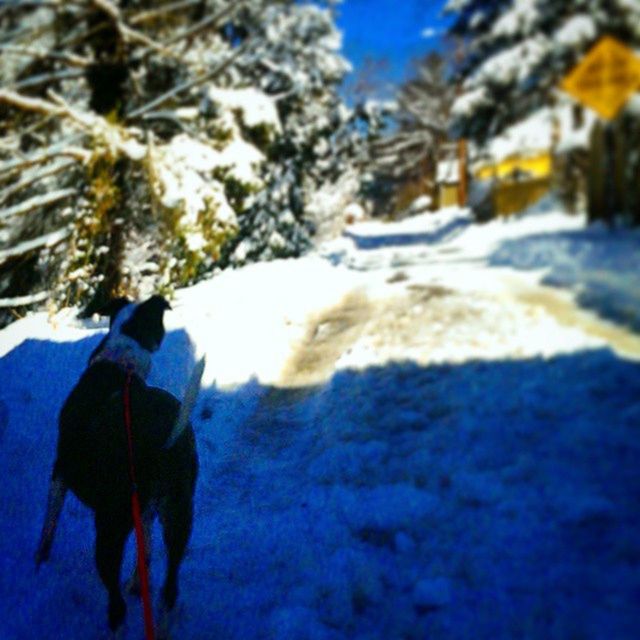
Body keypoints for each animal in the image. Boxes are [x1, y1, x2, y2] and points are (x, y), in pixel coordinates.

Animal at [34, 296, 202, 636]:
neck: (120, 362)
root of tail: (161, 441)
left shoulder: (59, 470)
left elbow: (49, 523)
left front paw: (39, 561)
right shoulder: (147, 510)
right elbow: (146, 551)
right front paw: (138, 583)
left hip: (110, 528)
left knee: (116, 604)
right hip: (178, 514)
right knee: (169, 590)